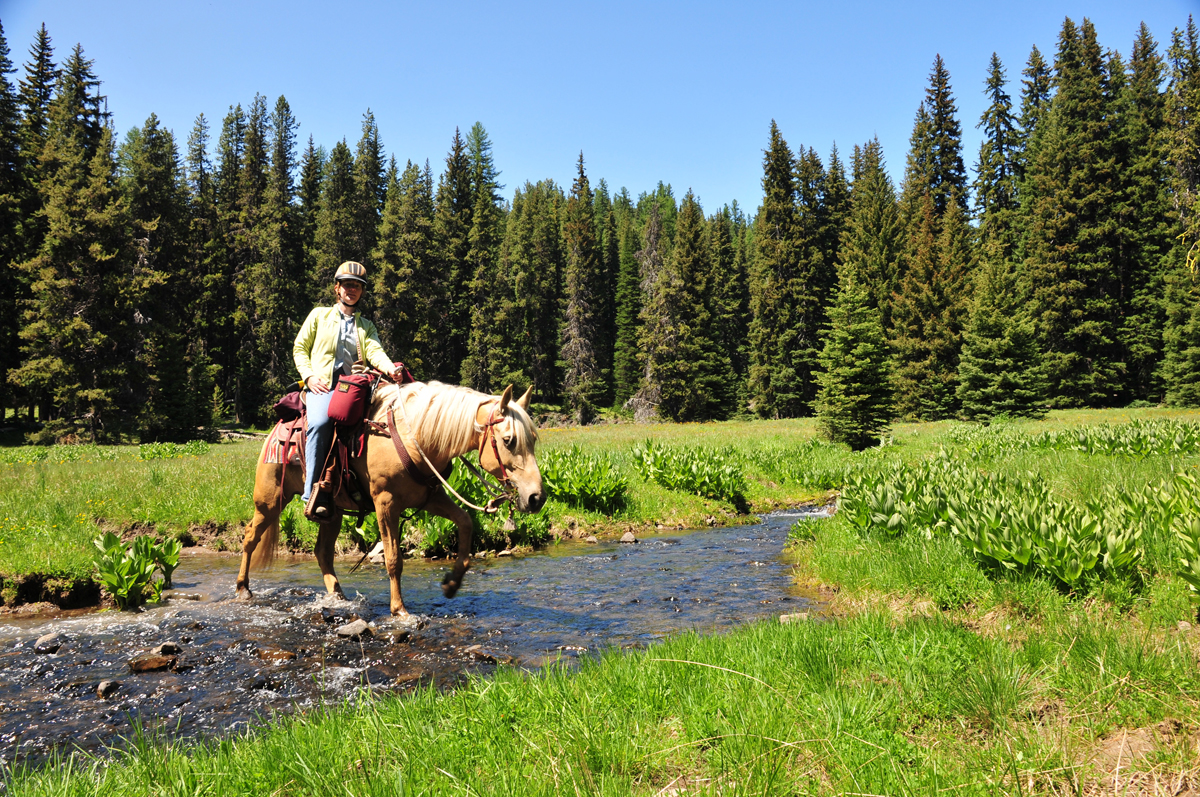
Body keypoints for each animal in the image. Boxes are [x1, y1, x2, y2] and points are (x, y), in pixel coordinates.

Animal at [236, 381, 547, 614]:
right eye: (508, 440)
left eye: (533, 439)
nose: (536, 498)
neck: (416, 437)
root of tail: (275, 430)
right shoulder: (385, 504)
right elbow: (394, 558)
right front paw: (399, 610)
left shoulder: (430, 498)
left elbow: (466, 522)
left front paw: (451, 583)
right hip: (270, 501)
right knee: (250, 537)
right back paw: (243, 588)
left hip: (332, 511)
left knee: (323, 552)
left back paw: (339, 597)